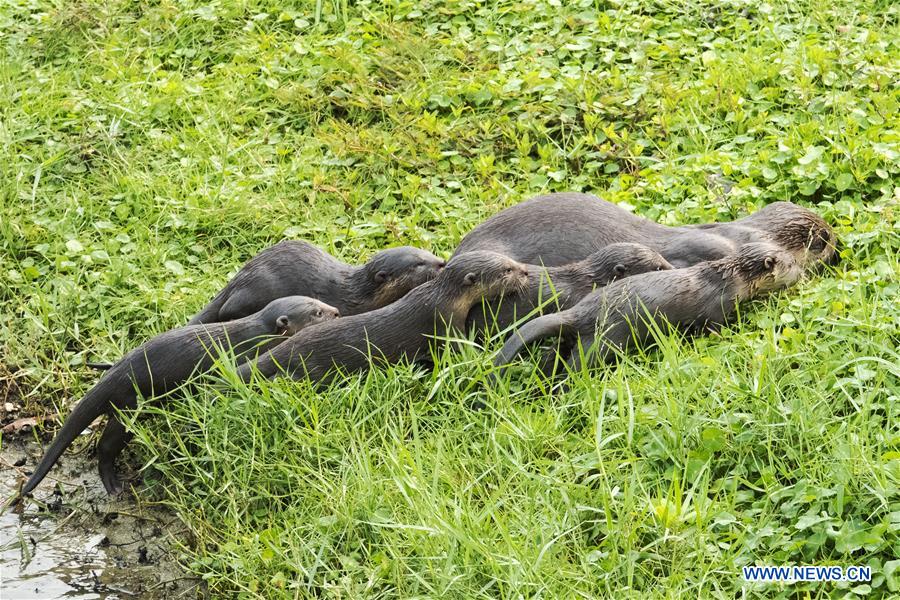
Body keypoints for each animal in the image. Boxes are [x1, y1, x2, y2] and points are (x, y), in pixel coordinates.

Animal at [16, 296, 340, 498]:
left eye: (319, 302)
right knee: (106, 446)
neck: (252, 334)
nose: (336, 312)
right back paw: (113, 485)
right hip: (129, 407)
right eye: (316, 313)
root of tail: (116, 372)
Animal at [236, 251, 530, 383]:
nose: (526, 271)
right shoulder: (444, 322)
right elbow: (459, 351)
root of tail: (291, 346)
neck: (443, 297)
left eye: (510, 261)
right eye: (506, 270)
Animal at [493, 242, 803, 374]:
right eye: (790, 264)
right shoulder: (718, 307)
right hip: (606, 338)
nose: (801, 274)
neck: (729, 279)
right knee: (579, 363)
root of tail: (583, 311)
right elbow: (716, 327)